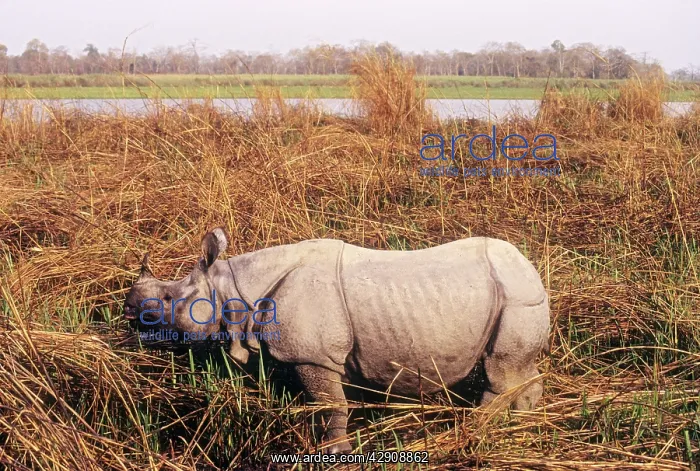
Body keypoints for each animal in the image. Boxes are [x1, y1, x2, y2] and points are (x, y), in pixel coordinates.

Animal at [124, 228, 550, 453]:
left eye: (167, 300)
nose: (129, 310)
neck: (232, 287)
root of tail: (532, 270)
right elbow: (325, 403)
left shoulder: (314, 357)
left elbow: (332, 406)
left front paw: (333, 452)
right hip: (517, 294)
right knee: (520, 371)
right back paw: (523, 425)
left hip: (516, 297)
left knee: (500, 371)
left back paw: (474, 432)